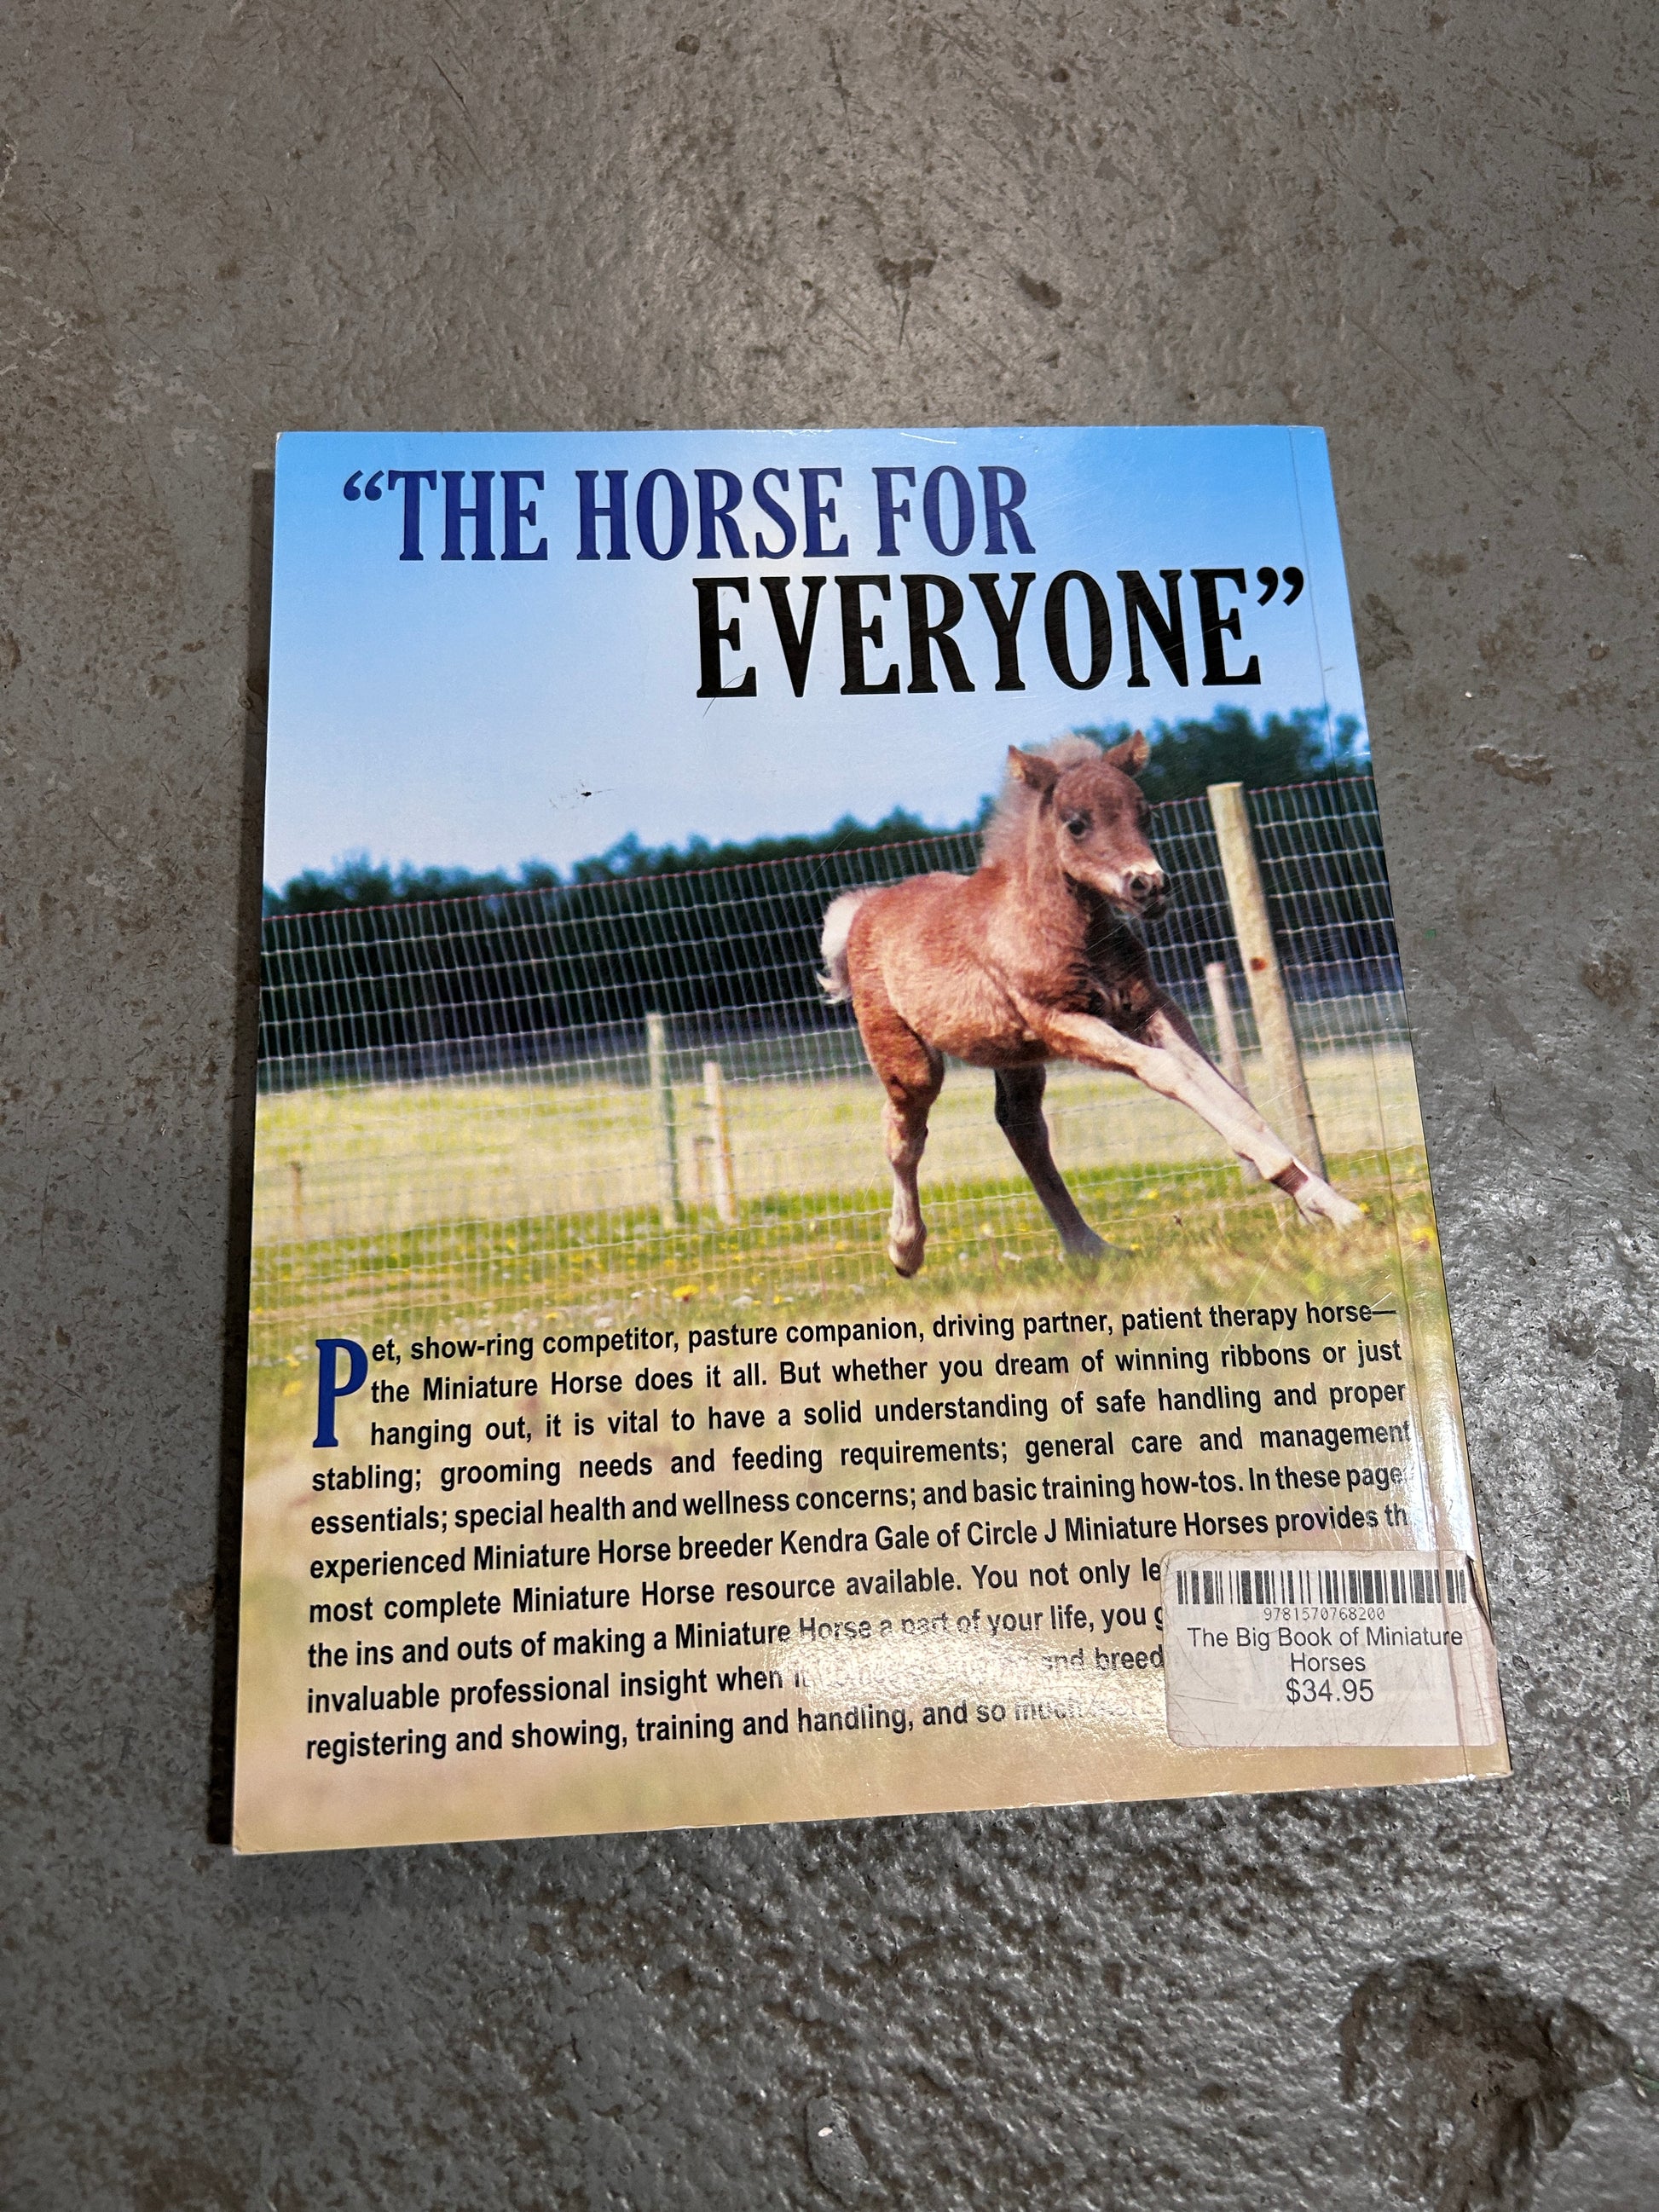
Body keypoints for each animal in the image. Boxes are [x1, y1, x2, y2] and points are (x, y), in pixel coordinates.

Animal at [820, 732, 1362, 1277]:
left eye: (1145, 814)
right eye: (1077, 823)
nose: (1149, 886)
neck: (1067, 929)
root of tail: (862, 910)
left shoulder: (1149, 1008)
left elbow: (1228, 1095)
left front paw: (1328, 1203)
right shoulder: (1064, 1022)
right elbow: (1168, 1072)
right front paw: (1296, 1184)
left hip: (1014, 1056)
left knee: (1022, 1127)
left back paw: (1089, 1247)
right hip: (911, 1061)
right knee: (903, 1134)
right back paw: (905, 1249)